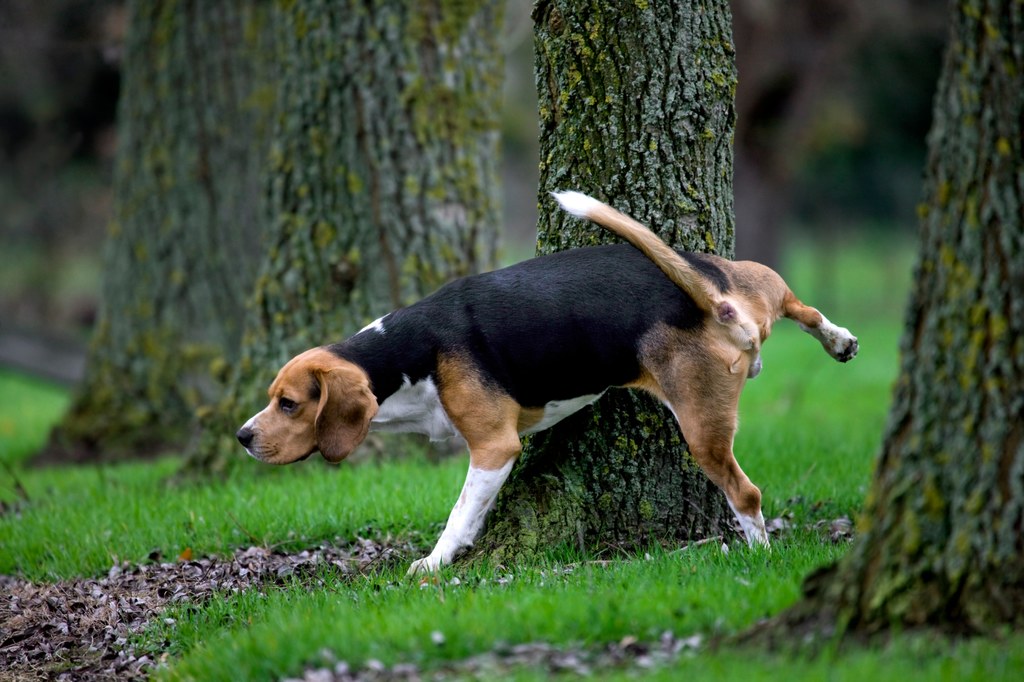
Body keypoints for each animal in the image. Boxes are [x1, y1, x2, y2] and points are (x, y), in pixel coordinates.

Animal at [237, 191, 856, 573]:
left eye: (288, 404)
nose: (243, 436)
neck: (408, 355)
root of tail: (718, 303)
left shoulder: (493, 448)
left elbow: (460, 513)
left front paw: (434, 562)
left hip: (702, 426)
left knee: (746, 494)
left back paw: (758, 552)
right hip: (749, 278)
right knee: (798, 304)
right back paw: (840, 339)